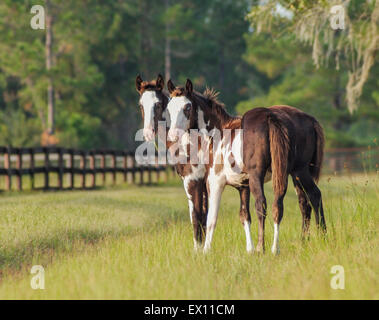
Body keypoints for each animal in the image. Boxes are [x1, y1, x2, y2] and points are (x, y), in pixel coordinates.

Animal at [166, 79, 326, 254]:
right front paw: (249, 249)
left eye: (187, 107)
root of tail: (271, 117)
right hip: (298, 172)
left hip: (266, 175)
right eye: (169, 108)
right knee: (307, 199)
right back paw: (316, 238)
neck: (218, 132)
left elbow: (211, 218)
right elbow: (244, 216)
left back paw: (264, 247)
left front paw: (206, 250)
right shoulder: (243, 186)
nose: (173, 136)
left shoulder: (215, 182)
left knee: (263, 204)